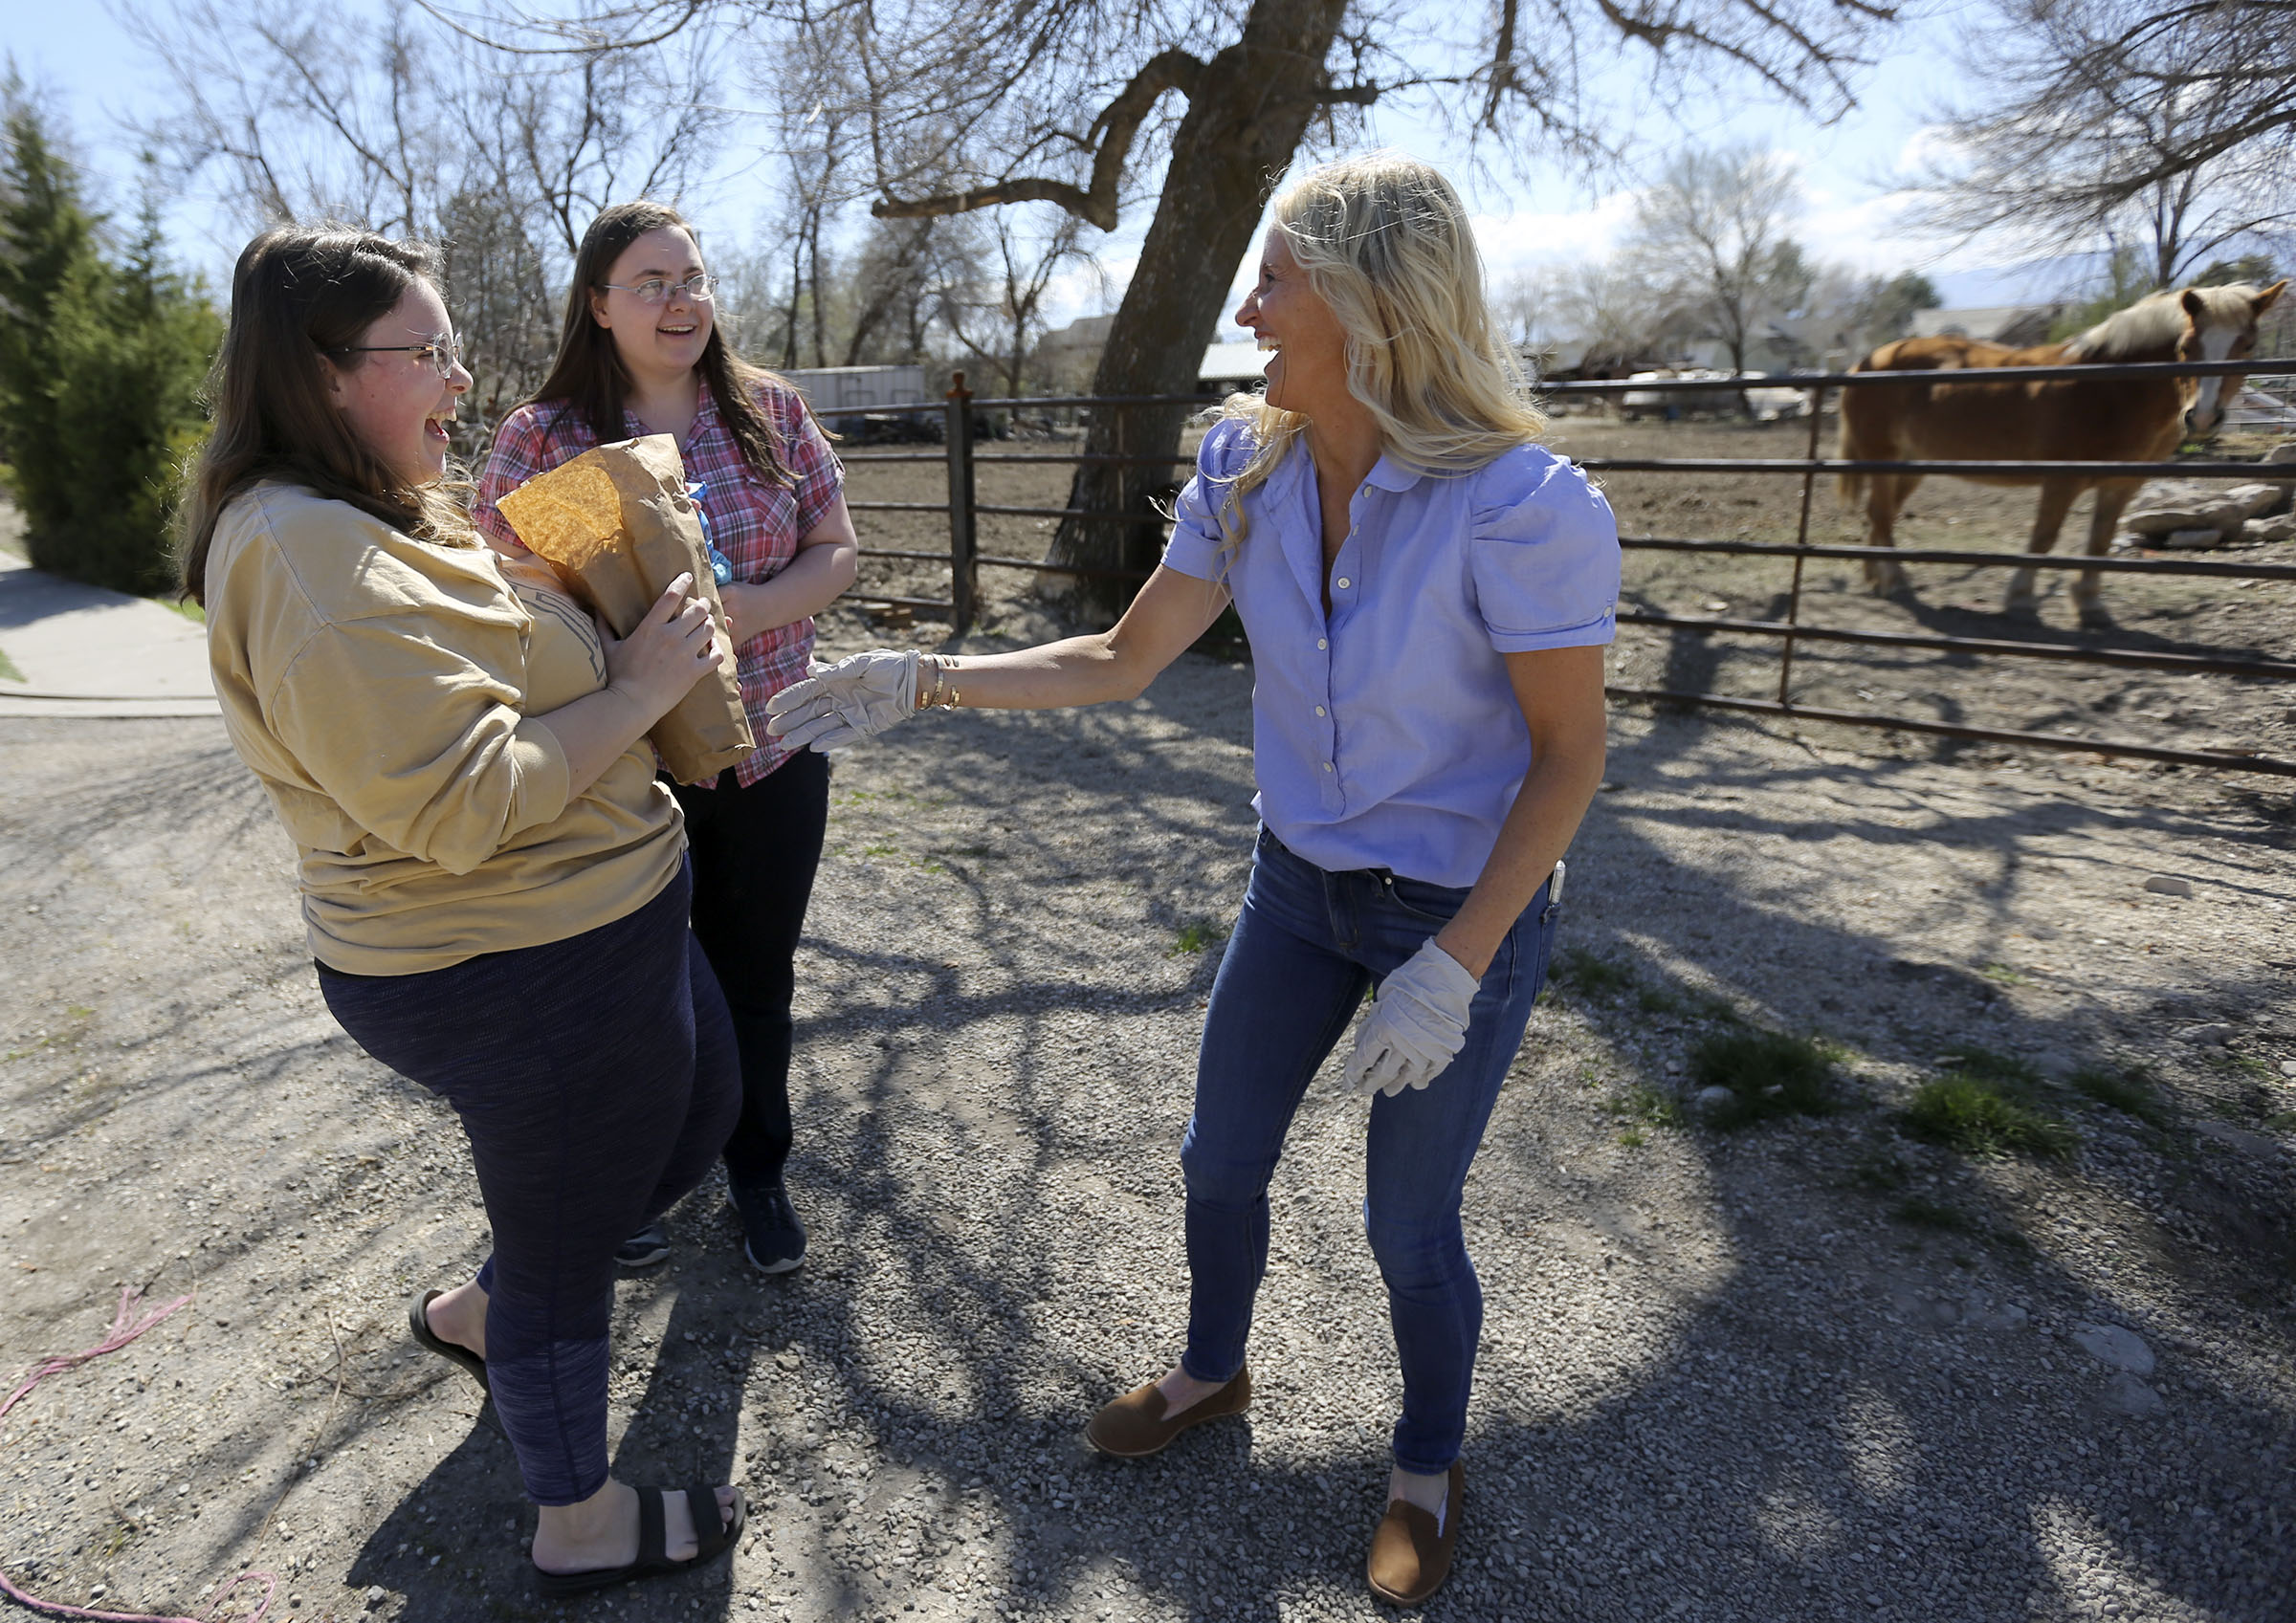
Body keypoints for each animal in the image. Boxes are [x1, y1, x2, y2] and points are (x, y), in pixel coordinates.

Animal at [1837, 282, 2286, 624]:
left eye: (2247, 345)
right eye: (2186, 346)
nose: (2203, 416)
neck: (2112, 389)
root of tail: (1869, 361)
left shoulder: (2122, 485)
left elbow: (2099, 542)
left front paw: (2090, 606)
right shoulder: (2061, 479)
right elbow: (2044, 537)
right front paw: (2020, 599)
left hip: (1911, 465)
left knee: (1880, 515)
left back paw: (1875, 577)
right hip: (1883, 459)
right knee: (1881, 515)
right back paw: (1894, 580)